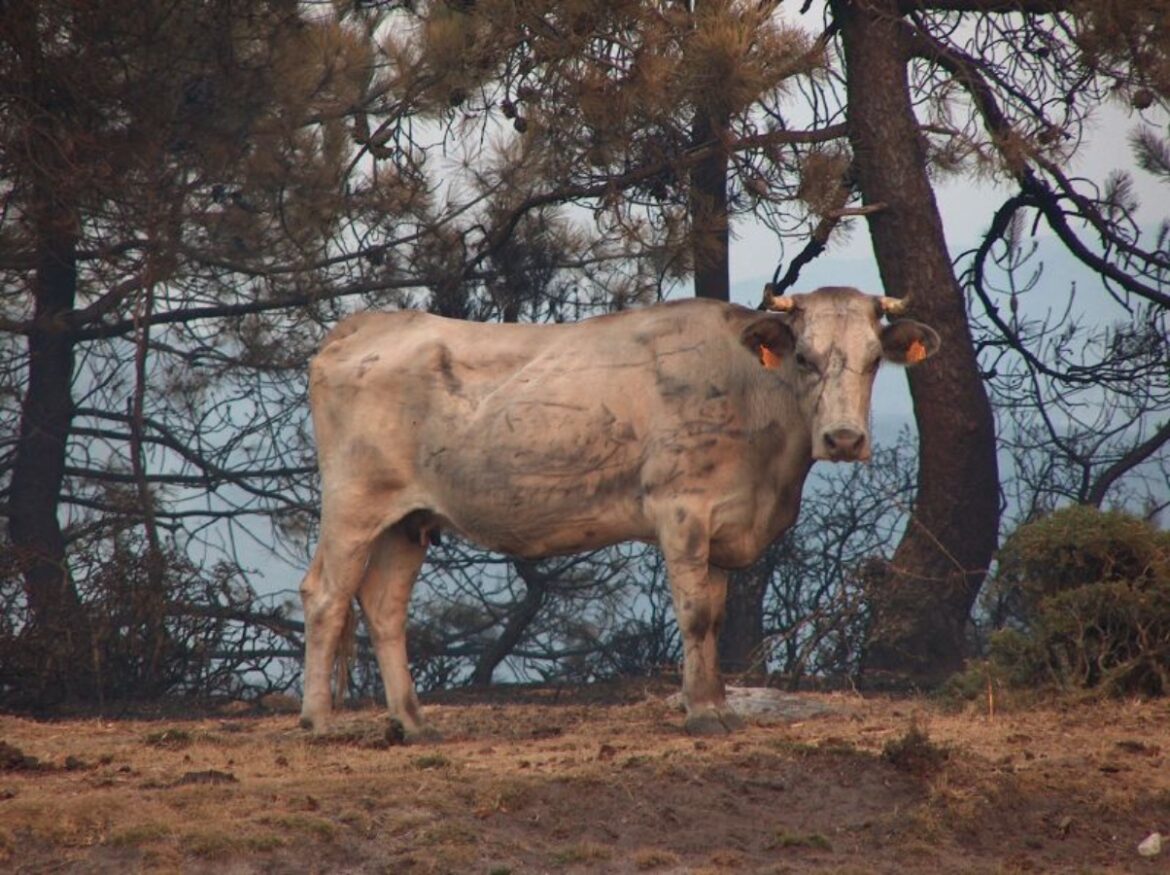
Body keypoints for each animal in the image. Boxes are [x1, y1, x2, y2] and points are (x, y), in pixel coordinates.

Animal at [298, 286, 939, 737]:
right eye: (803, 357)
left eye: (874, 360)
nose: (843, 438)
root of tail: (372, 322)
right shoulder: (681, 511)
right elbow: (695, 616)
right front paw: (701, 714)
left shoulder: (724, 526)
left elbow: (715, 613)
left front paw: (718, 704)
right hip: (353, 502)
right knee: (326, 595)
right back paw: (319, 721)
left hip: (406, 520)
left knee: (384, 606)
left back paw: (412, 722)